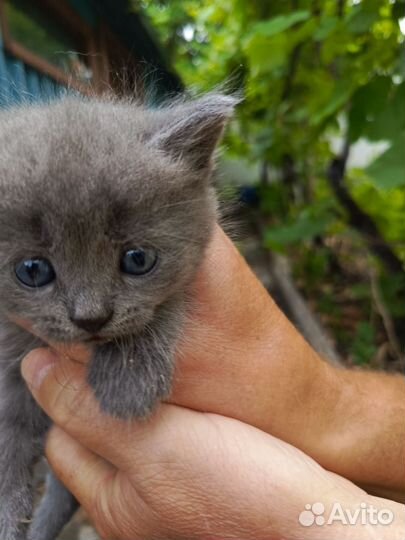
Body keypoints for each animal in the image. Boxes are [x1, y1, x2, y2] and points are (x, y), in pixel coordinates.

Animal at [0, 93, 235, 540]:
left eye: (137, 259)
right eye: (32, 270)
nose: (91, 317)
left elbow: (167, 304)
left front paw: (127, 380)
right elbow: (8, 433)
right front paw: (6, 509)